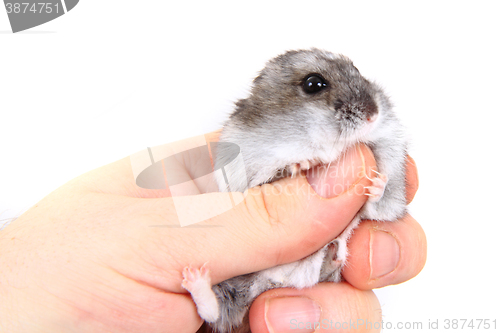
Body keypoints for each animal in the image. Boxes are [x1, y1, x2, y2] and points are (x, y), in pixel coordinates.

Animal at [182, 48, 408, 330]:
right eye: (313, 84)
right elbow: (266, 178)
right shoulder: (241, 175)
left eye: (356, 69)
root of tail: (276, 280)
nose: (373, 115)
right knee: (216, 313)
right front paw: (302, 165)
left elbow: (381, 209)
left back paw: (333, 255)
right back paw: (194, 279)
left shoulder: (388, 203)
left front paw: (378, 182)